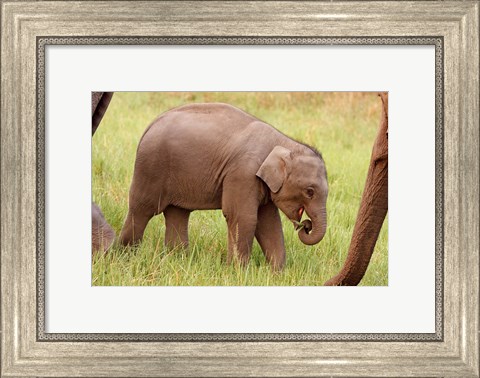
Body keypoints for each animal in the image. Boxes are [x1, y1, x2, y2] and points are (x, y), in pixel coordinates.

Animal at [122, 102, 328, 268]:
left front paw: (277, 273)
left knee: (177, 212)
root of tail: (150, 125)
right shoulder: (243, 174)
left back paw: (177, 260)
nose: (305, 225)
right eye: (309, 191)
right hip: (151, 166)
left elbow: (269, 222)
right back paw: (125, 254)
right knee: (142, 209)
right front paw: (239, 272)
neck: (284, 142)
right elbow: (243, 216)